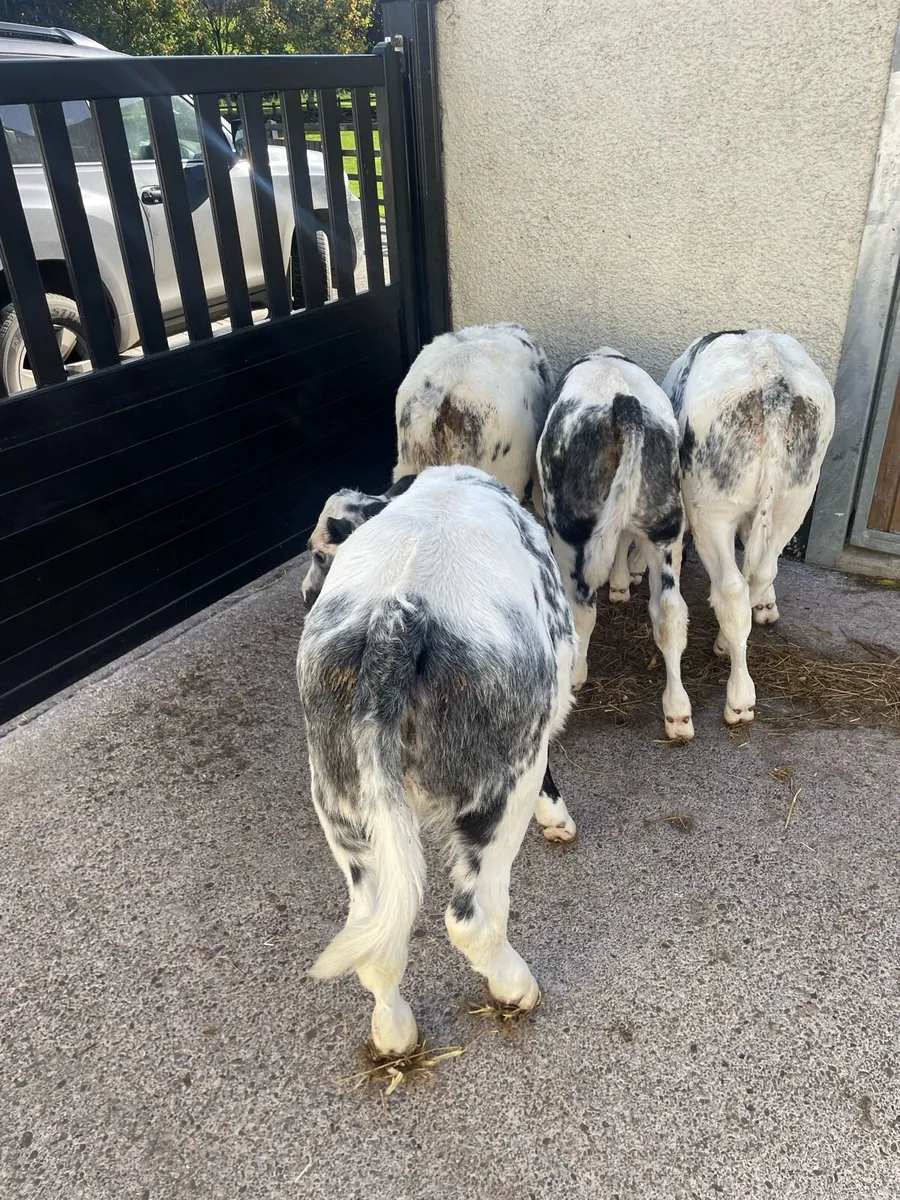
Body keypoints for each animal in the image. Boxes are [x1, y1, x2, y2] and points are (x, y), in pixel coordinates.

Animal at [296, 465, 576, 1056]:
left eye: (321, 551)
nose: (304, 594)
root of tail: (394, 622)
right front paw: (559, 822)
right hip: (500, 787)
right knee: (470, 917)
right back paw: (516, 987)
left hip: (340, 805)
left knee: (375, 940)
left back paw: (394, 1033)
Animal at [538, 348, 694, 741]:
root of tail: (623, 405)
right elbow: (621, 539)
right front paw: (622, 584)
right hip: (666, 526)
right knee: (670, 612)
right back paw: (678, 712)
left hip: (570, 532)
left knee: (582, 610)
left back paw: (576, 676)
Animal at [663, 329, 836, 725]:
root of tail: (773, 380)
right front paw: (767, 607)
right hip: (796, 496)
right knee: (762, 570)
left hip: (711, 507)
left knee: (731, 588)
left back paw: (739, 697)